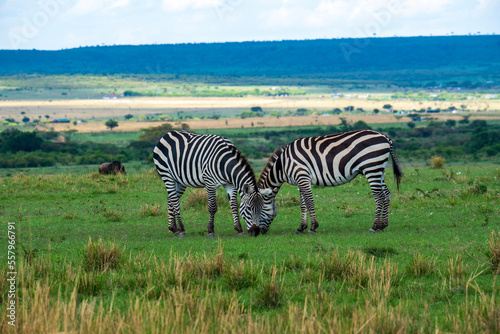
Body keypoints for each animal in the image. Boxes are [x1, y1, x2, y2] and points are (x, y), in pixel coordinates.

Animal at [249, 129, 402, 234]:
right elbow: (303, 204)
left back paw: (374, 226)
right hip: (378, 170)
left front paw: (313, 227)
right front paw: (301, 227)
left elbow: (310, 202)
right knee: (387, 194)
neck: (283, 165)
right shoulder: (301, 180)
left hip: (371, 167)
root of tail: (384, 137)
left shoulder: (302, 176)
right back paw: (383, 225)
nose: (255, 232)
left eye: (250, 209)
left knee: (379, 196)